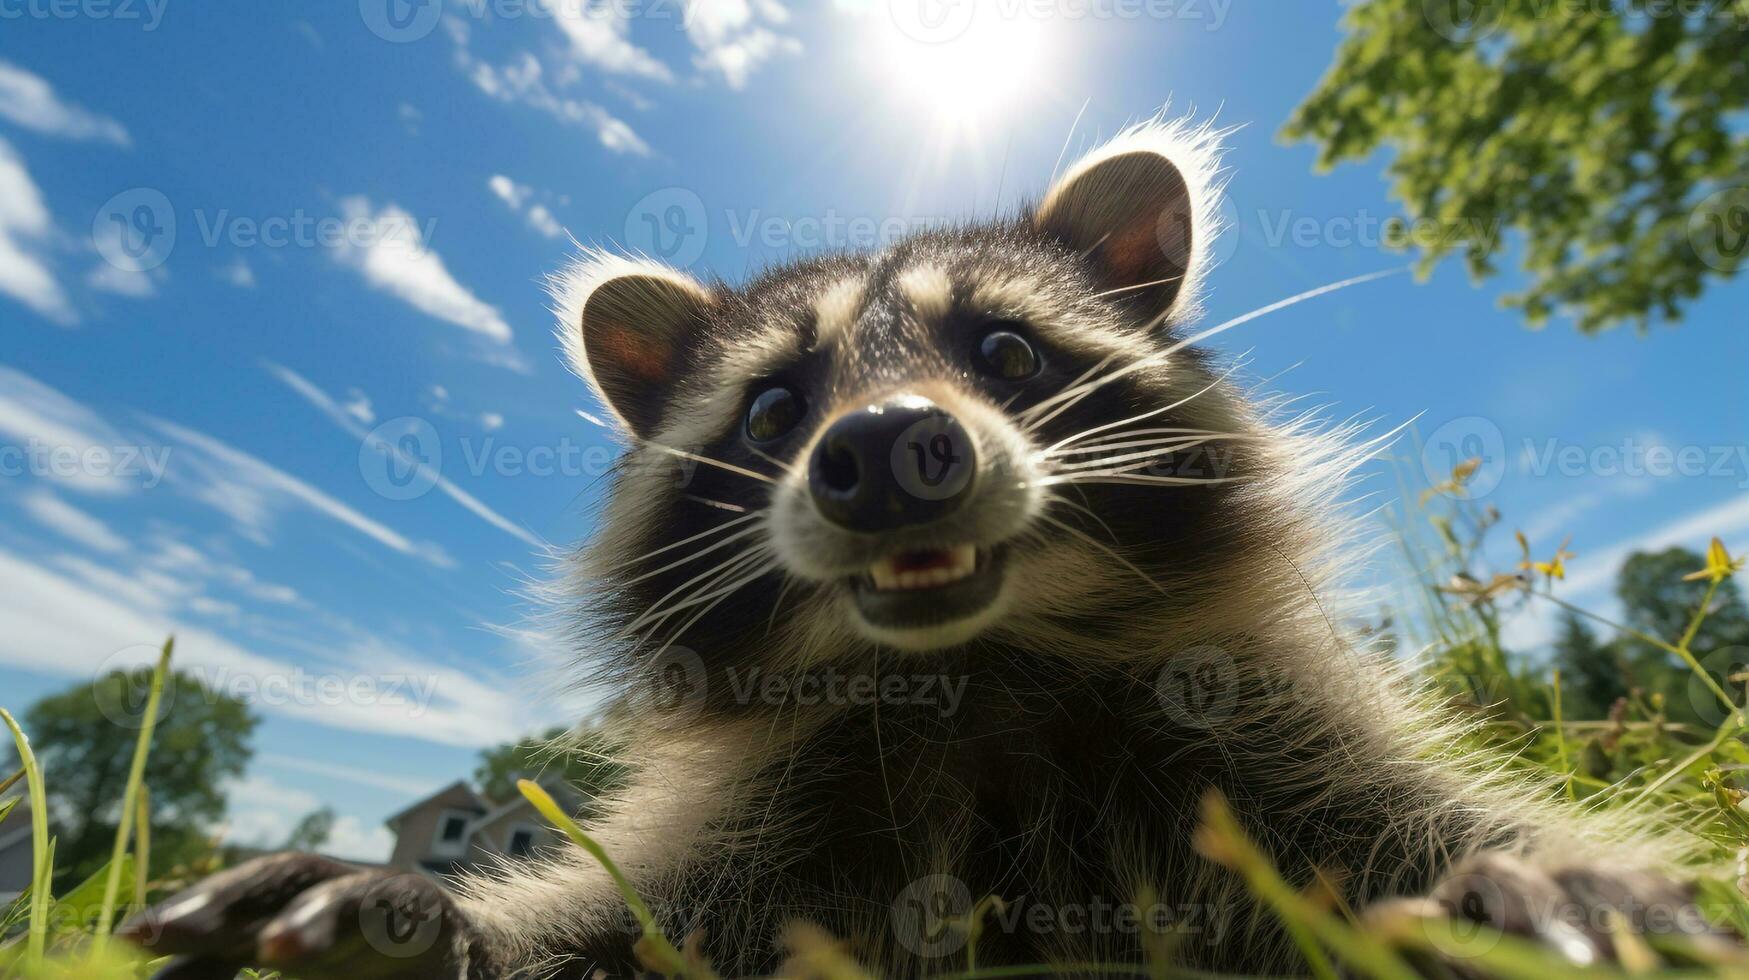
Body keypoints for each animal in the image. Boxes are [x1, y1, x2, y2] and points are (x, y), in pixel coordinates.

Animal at [126, 116, 1735, 980]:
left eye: (1007, 351)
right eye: (776, 406)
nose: (887, 451)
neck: (983, 673)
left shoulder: (1266, 747)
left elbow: (1417, 828)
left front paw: (1542, 885)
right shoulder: (779, 827)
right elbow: (621, 926)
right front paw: (429, 920)